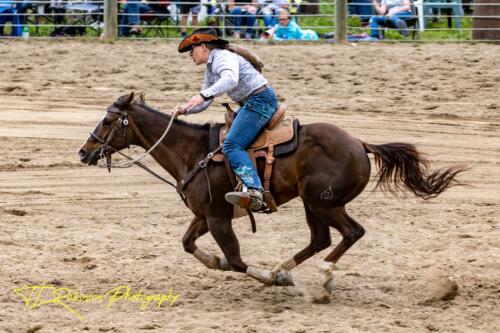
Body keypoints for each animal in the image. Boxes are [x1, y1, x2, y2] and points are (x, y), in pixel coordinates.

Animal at [78, 92, 464, 290]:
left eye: (109, 120)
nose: (83, 152)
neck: (195, 152)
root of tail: (359, 143)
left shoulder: (218, 219)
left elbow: (236, 260)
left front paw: (261, 275)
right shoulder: (206, 214)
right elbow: (189, 244)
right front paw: (216, 262)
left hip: (323, 201)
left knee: (351, 232)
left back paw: (319, 276)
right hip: (313, 204)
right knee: (321, 239)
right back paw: (284, 269)